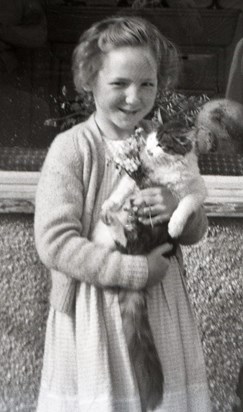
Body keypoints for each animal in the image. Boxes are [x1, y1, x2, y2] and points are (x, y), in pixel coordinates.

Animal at [91, 120, 211, 410]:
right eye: (149, 141)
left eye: (162, 143)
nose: (148, 150)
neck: (166, 171)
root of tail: (140, 257)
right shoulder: (140, 177)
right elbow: (124, 186)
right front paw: (110, 202)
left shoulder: (197, 191)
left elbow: (184, 204)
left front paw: (175, 225)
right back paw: (112, 216)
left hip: (143, 237)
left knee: (125, 243)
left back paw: (119, 225)